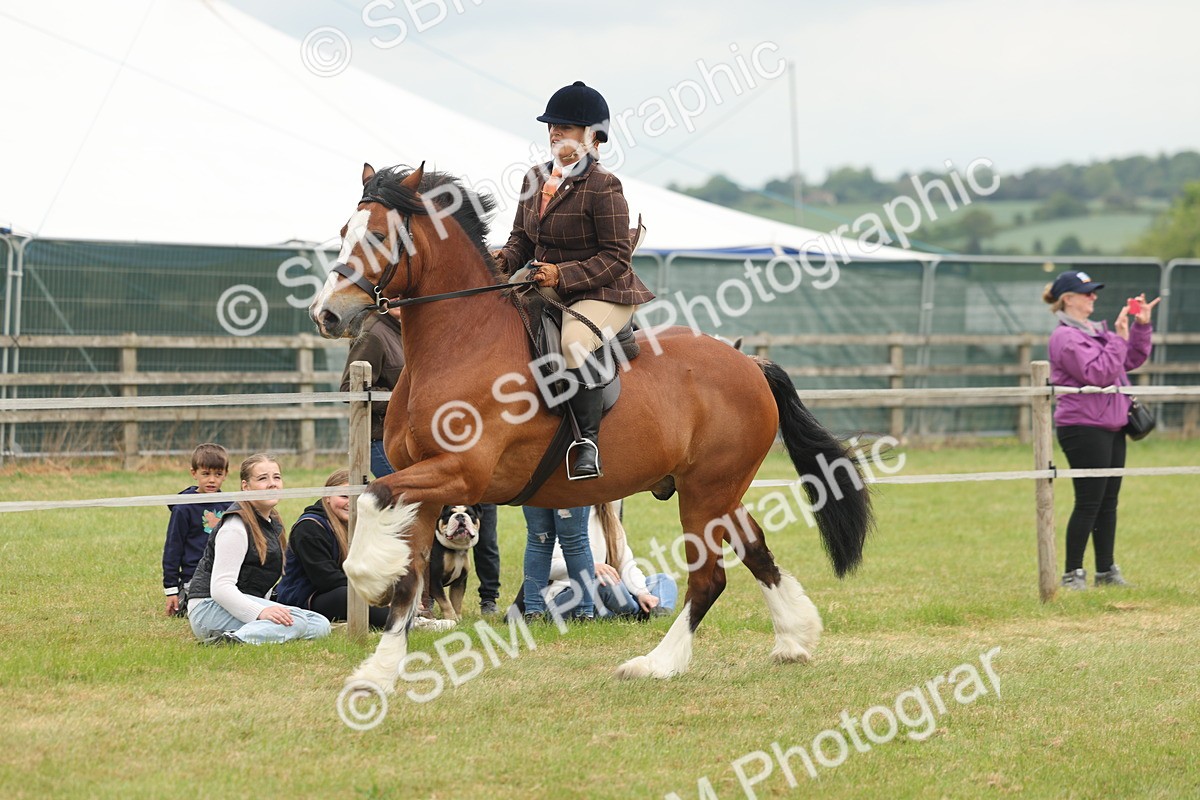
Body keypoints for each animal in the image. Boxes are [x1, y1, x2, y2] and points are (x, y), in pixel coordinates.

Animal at [309, 163, 873, 694]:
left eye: (378, 236)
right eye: (342, 231)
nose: (326, 314)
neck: (461, 344)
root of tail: (749, 363)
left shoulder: (460, 473)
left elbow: (371, 496)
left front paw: (368, 577)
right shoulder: (426, 485)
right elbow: (410, 575)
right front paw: (377, 673)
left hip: (706, 492)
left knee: (708, 580)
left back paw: (656, 664)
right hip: (719, 491)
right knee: (755, 550)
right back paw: (794, 639)